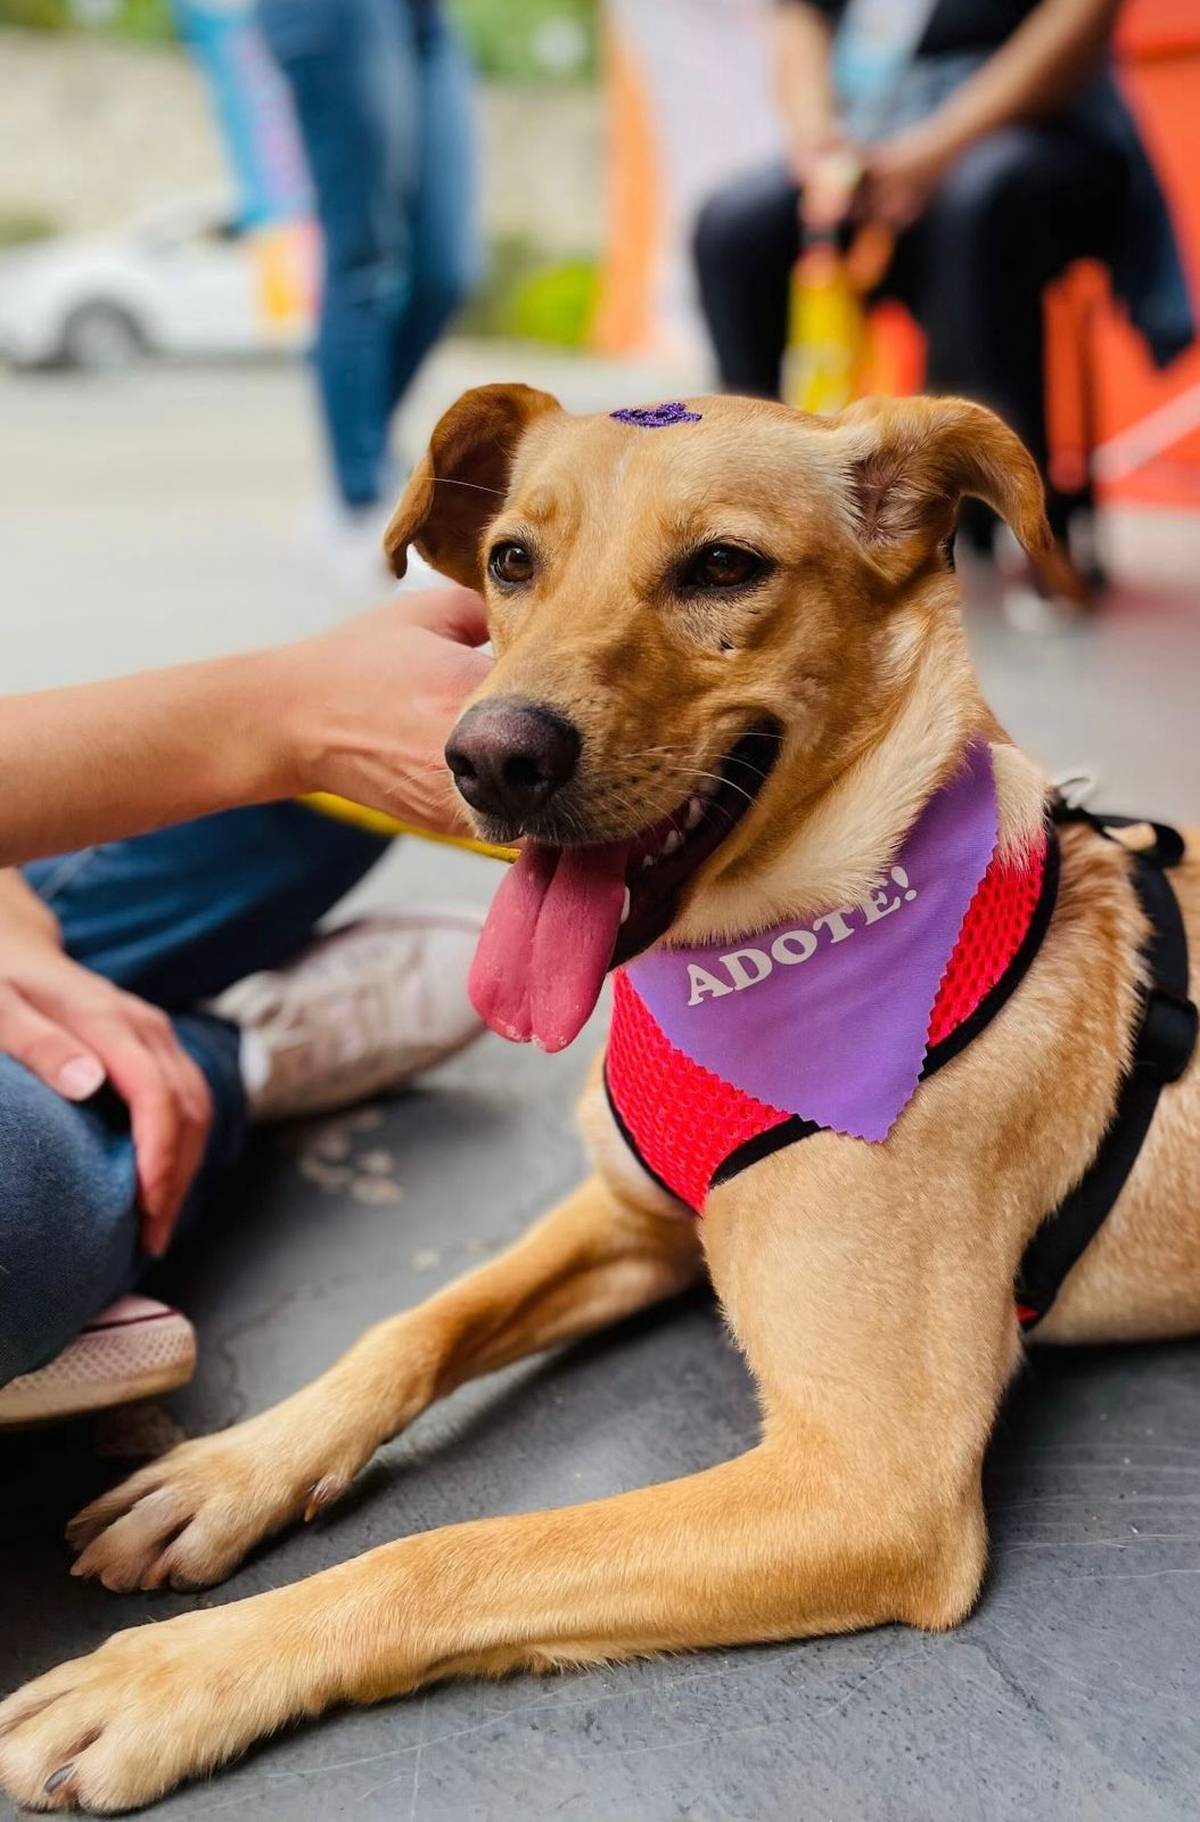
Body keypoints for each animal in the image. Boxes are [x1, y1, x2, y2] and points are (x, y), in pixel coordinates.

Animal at [1, 386, 1196, 1814]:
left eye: (724, 566)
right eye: (512, 559)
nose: (488, 757)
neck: (762, 954)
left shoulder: (871, 1481)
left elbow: (454, 1551)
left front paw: (172, 1677)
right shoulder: (631, 1224)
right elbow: (412, 1326)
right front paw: (235, 1470)